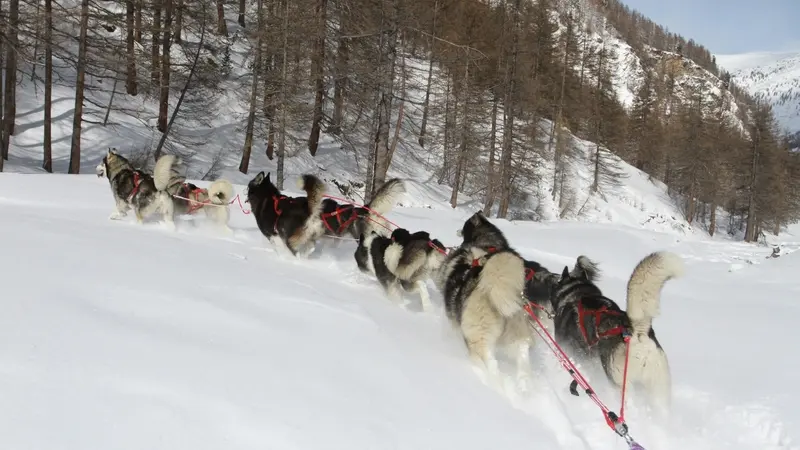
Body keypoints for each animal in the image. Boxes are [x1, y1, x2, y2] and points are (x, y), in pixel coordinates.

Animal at [438, 211, 536, 386]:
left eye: (464, 226)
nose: (457, 231)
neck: (487, 246)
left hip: (479, 339)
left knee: (490, 364)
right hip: (518, 333)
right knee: (522, 354)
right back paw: (524, 386)